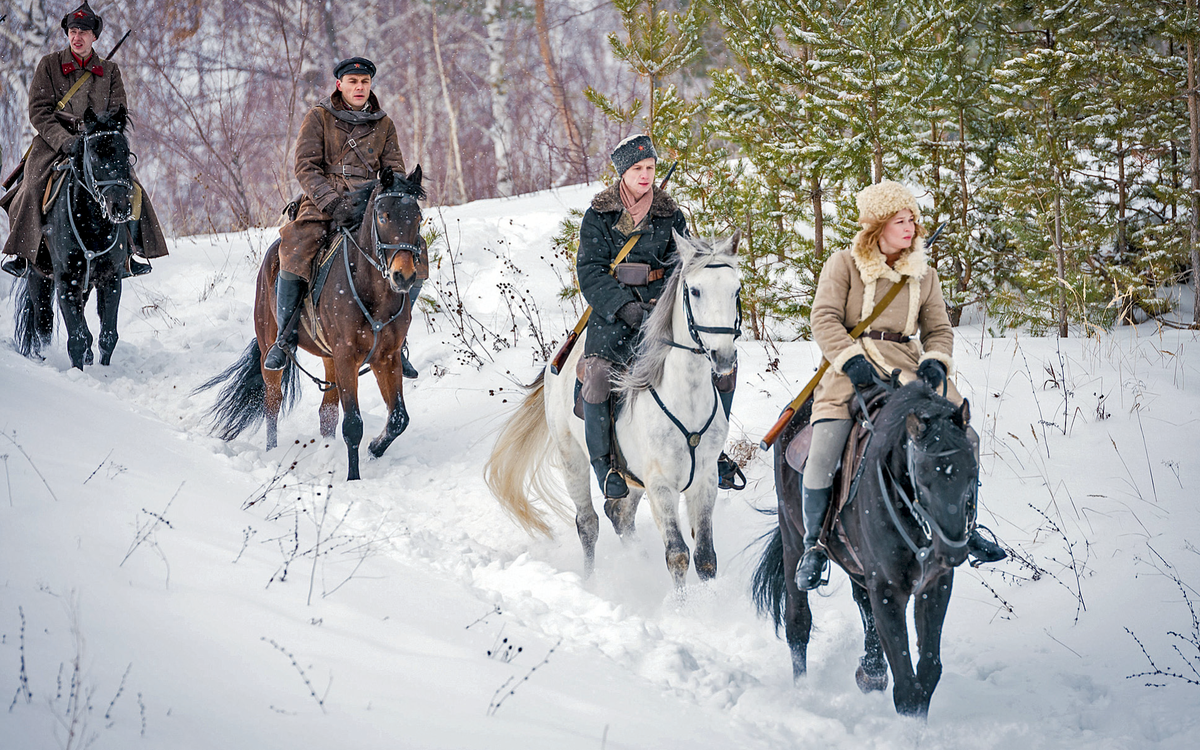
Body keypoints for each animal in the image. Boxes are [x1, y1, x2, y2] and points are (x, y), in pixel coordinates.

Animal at [12, 105, 136, 369]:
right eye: (95, 156)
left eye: (125, 153)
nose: (120, 208)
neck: (93, 224)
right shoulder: (66, 281)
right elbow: (76, 338)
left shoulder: (110, 279)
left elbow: (108, 335)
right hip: (38, 276)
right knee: (43, 322)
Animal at [196, 164, 422, 480]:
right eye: (383, 216)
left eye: (418, 217)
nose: (404, 276)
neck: (373, 289)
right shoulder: (346, 356)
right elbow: (353, 425)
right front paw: (353, 478)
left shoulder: (386, 358)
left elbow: (398, 419)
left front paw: (374, 449)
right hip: (270, 348)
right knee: (273, 402)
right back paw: (273, 452)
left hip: (330, 359)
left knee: (327, 412)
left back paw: (327, 453)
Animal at [487, 229, 739, 585]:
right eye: (695, 290)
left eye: (736, 289)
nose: (724, 356)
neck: (685, 398)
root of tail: (557, 358)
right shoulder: (660, 485)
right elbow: (677, 555)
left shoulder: (704, 481)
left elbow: (705, 558)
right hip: (573, 459)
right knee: (588, 523)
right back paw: (592, 582)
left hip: (631, 478)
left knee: (619, 514)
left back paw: (637, 560)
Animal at [753, 384, 979, 715]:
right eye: (922, 479)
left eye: (971, 472)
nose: (952, 552)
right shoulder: (887, 589)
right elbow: (907, 688)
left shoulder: (934, 584)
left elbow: (929, 671)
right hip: (792, 539)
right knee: (798, 623)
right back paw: (804, 694)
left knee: (861, 601)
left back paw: (871, 671)